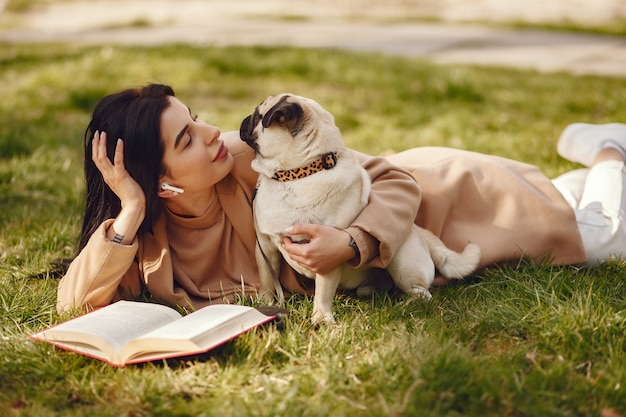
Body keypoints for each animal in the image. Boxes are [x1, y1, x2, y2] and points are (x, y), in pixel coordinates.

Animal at [239, 94, 478, 324]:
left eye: (257, 116)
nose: (245, 119)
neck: (297, 175)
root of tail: (417, 230)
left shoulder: (325, 255)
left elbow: (323, 292)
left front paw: (322, 318)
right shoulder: (266, 248)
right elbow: (268, 281)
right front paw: (266, 305)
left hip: (402, 261)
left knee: (423, 293)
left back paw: (405, 305)